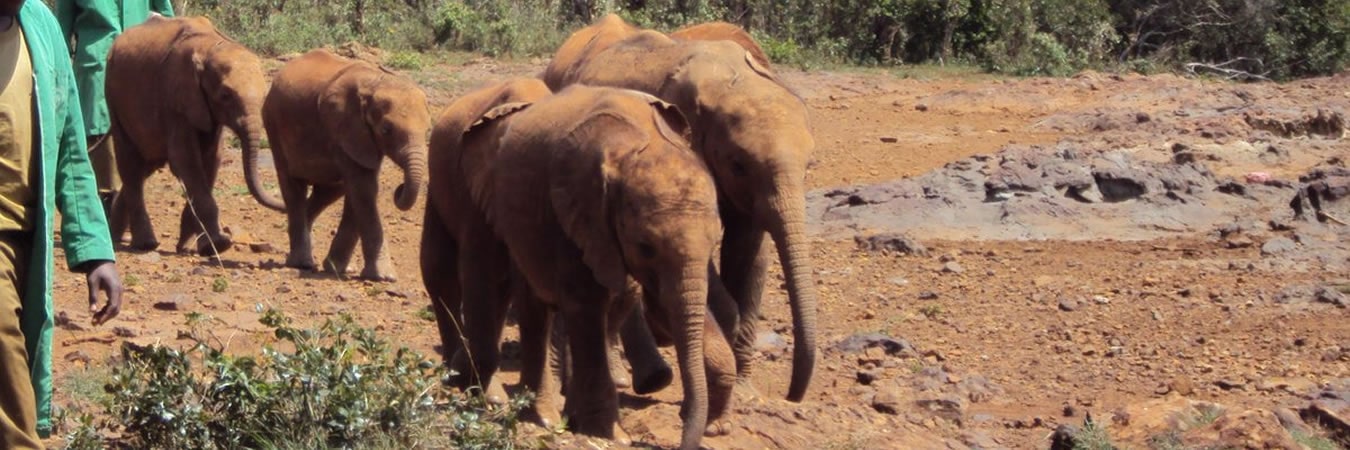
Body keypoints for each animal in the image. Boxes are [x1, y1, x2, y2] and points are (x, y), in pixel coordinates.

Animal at [260, 48, 429, 281]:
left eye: (428, 131)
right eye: (386, 130)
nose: (399, 188)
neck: (376, 82)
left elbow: (361, 191)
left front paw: (335, 268)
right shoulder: (345, 129)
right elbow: (364, 189)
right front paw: (383, 277)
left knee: (331, 190)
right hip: (273, 124)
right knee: (293, 187)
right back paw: (301, 263)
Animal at [450, 83, 739, 445]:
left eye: (714, 243)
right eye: (646, 248)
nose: (698, 434)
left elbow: (638, 301)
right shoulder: (576, 210)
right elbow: (586, 303)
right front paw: (610, 435)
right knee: (524, 300)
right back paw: (541, 416)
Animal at [540, 20, 815, 402]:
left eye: (809, 167)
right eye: (738, 165)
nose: (791, 395)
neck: (733, 82)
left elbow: (749, 253)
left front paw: (744, 390)